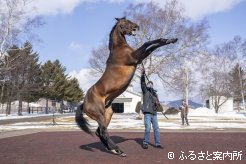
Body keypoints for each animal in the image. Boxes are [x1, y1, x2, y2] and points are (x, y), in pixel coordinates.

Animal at [76, 17, 178, 157]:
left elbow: (151, 46)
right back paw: (119, 150)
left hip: (107, 114)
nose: (137, 26)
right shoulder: (136, 57)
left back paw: (112, 150)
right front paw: (167, 40)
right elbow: (148, 44)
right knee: (103, 132)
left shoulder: (138, 58)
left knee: (99, 132)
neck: (119, 48)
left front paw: (170, 40)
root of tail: (84, 103)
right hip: (99, 115)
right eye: (125, 22)